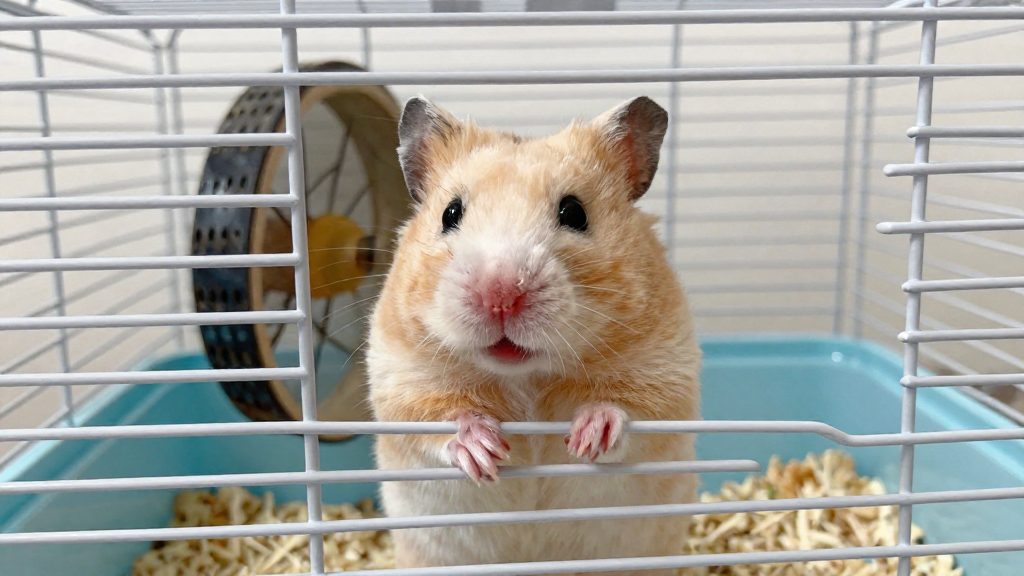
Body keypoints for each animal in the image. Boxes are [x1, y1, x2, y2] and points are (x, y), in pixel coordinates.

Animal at [366, 96, 701, 576]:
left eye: (574, 213)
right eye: (451, 213)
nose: (501, 295)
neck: (527, 375)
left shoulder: (666, 371)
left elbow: (629, 409)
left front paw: (586, 437)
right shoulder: (402, 376)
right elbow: (437, 418)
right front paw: (486, 451)